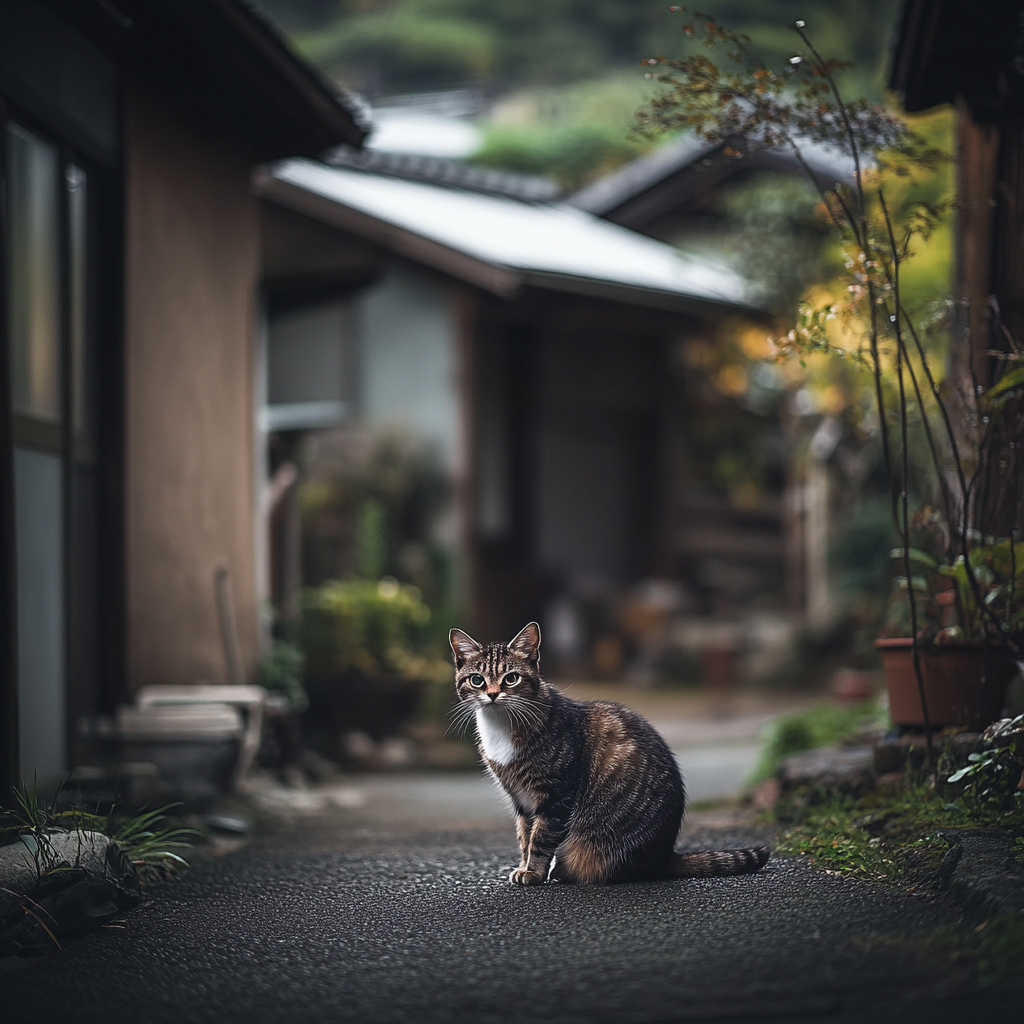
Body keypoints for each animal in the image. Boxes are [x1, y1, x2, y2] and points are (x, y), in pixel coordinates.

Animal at [448, 618, 770, 884]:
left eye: (511, 678)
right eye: (477, 680)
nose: (492, 694)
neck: (501, 726)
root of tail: (665, 857)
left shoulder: (556, 796)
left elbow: (540, 839)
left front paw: (534, 873)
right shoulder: (521, 799)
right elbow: (525, 836)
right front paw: (524, 866)